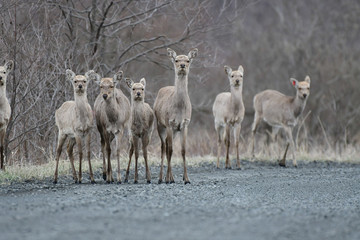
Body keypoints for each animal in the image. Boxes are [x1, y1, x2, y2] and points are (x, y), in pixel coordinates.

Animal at [153, 47, 198, 185]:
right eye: (176, 60)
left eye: (188, 60)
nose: (182, 65)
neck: (179, 108)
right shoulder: (169, 123)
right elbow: (170, 150)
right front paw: (168, 179)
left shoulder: (185, 124)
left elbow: (183, 151)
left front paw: (187, 179)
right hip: (160, 125)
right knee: (164, 148)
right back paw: (162, 178)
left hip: (174, 131)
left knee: (168, 148)